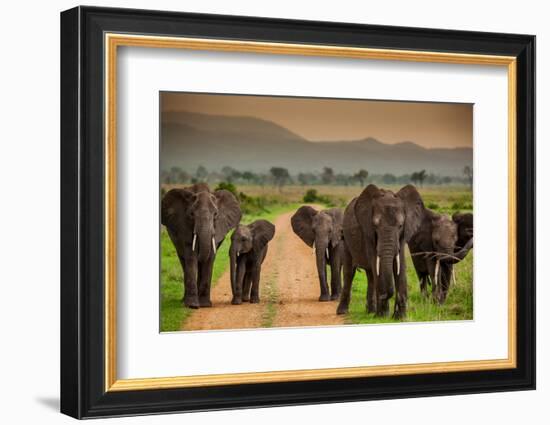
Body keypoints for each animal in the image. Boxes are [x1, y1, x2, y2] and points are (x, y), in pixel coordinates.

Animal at [336, 184, 426, 316]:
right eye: (375, 226)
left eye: (400, 226)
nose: (384, 295)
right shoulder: (369, 233)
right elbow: (376, 264)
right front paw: (383, 315)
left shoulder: (403, 235)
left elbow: (400, 265)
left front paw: (399, 317)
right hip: (346, 240)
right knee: (349, 272)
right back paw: (343, 312)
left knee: (371, 275)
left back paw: (371, 312)